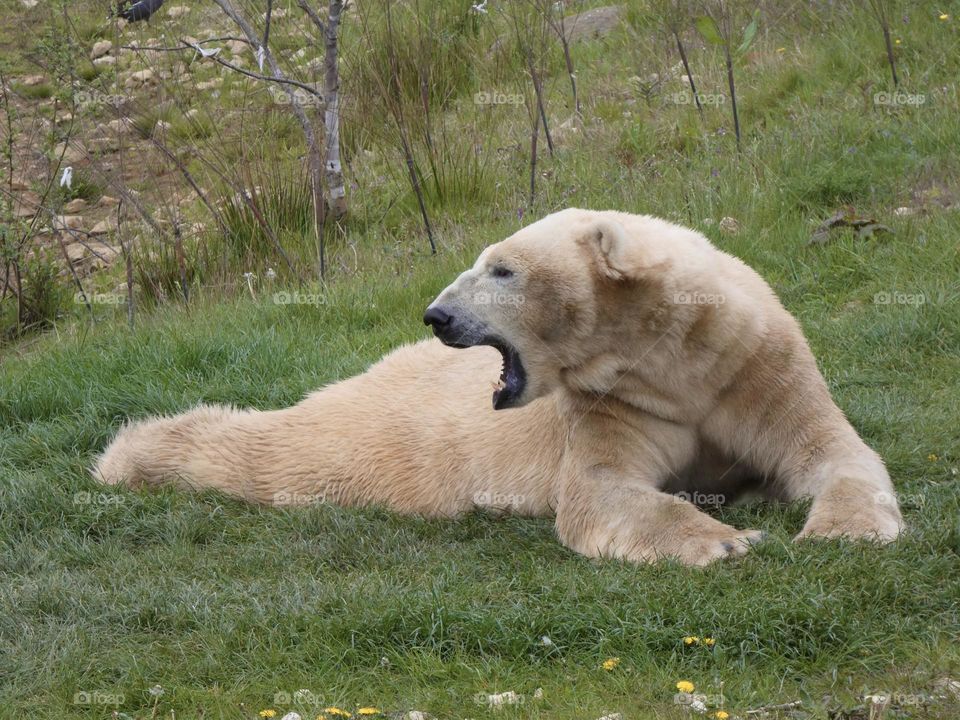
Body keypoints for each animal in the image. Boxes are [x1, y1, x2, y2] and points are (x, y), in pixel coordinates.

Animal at [95, 208, 903, 565]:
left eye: (502, 268)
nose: (437, 313)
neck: (673, 356)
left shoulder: (754, 364)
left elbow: (833, 450)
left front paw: (839, 527)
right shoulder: (614, 404)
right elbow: (601, 491)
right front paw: (727, 541)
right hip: (388, 443)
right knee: (280, 452)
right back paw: (132, 452)